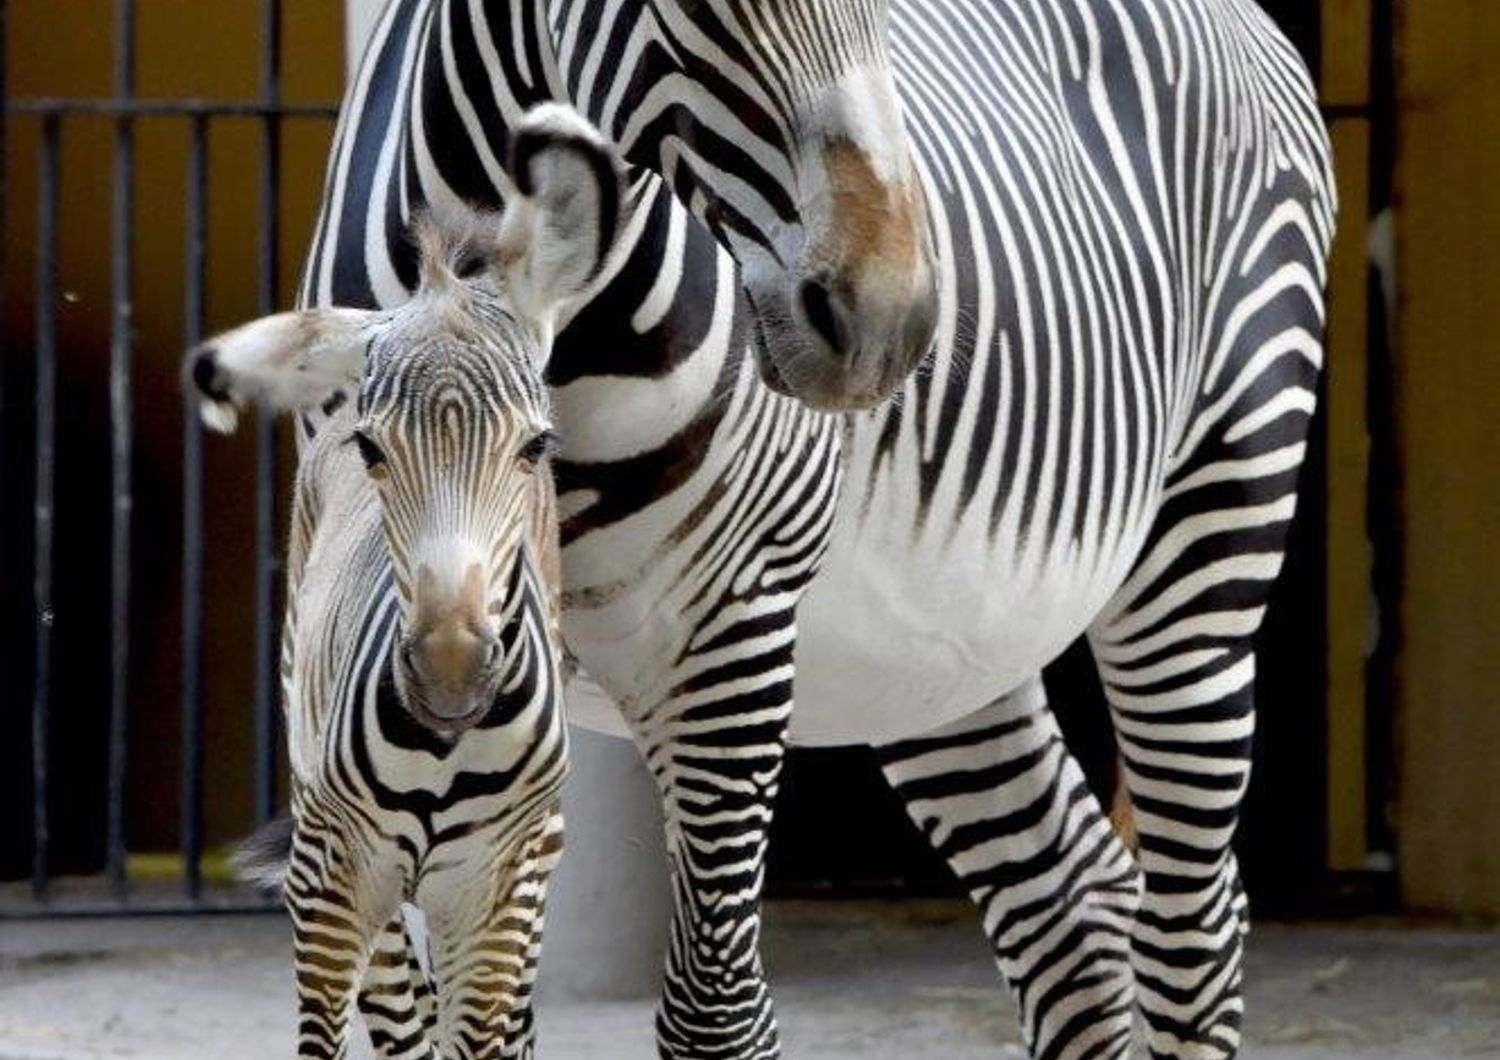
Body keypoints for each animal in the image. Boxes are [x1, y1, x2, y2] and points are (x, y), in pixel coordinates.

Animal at [186, 110, 621, 1060]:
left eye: (536, 446)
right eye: (372, 450)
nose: (451, 672)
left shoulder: (496, 894)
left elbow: (483, 1037)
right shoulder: (331, 879)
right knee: (399, 1018)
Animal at [295, 2, 1338, 1060]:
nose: (893, 322)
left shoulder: (729, 633)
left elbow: (716, 1014)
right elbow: (412, 1009)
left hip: (1214, 524)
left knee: (1191, 927)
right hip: (939, 652)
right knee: (1075, 903)